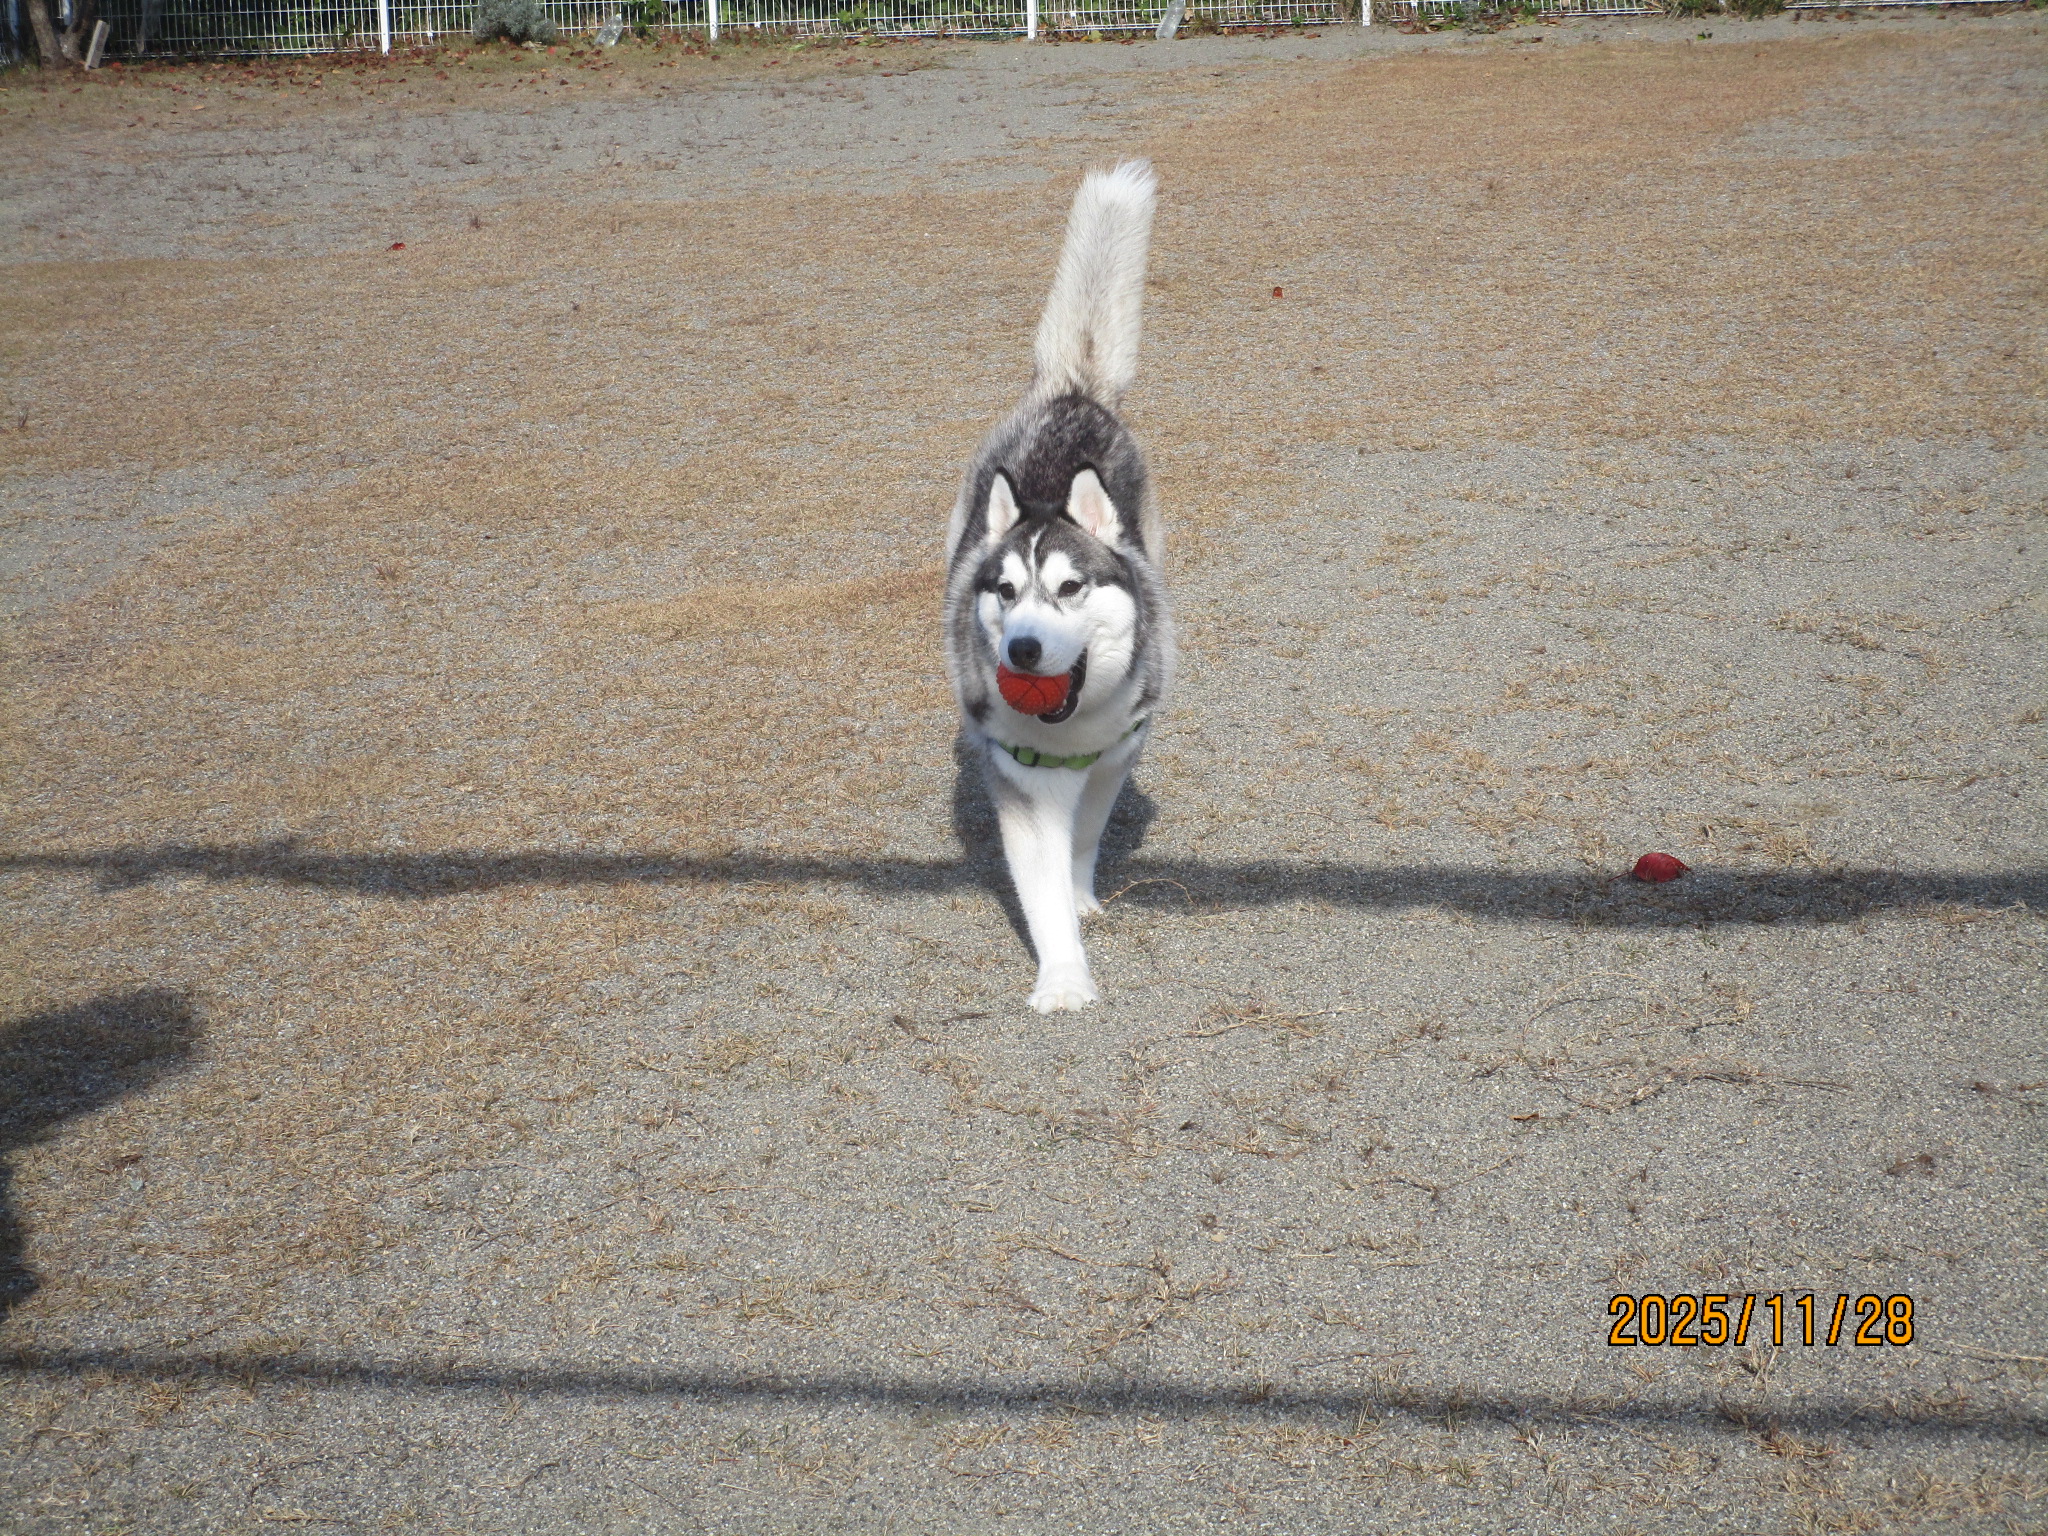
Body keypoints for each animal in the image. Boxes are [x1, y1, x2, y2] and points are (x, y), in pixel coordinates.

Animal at [943, 160, 1173, 1013]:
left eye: (1071, 586)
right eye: (1005, 592)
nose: (1024, 649)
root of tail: (1073, 391)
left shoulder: (1115, 756)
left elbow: (1081, 843)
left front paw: (1079, 899)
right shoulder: (1019, 782)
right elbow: (1038, 883)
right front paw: (1065, 979)